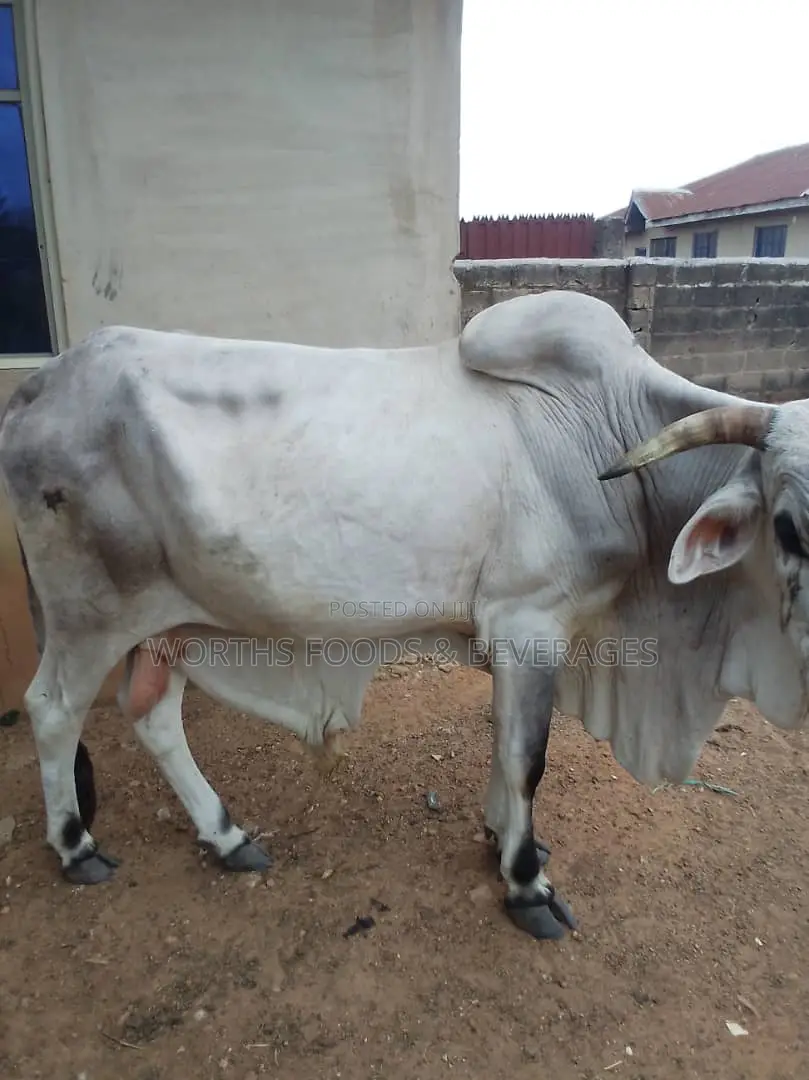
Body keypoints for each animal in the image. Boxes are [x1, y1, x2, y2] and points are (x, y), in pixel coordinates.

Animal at [1, 288, 806, 944]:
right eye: (789, 525)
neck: (604, 433)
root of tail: (40, 384)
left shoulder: (514, 637)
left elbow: (503, 746)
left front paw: (500, 837)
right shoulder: (529, 624)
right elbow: (527, 758)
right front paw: (525, 882)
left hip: (164, 626)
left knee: (154, 717)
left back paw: (225, 836)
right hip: (90, 614)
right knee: (53, 710)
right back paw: (75, 845)